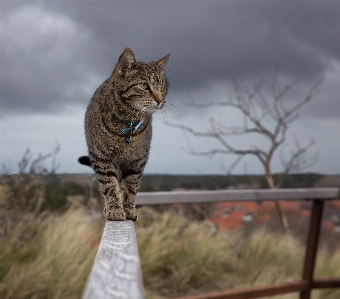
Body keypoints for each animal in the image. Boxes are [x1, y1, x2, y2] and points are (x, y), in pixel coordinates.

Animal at [79, 48, 170, 221]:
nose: (160, 100)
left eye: (162, 88)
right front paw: (115, 210)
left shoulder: (136, 162)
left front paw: (128, 209)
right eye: (144, 85)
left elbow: (130, 188)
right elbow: (110, 187)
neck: (128, 124)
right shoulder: (103, 160)